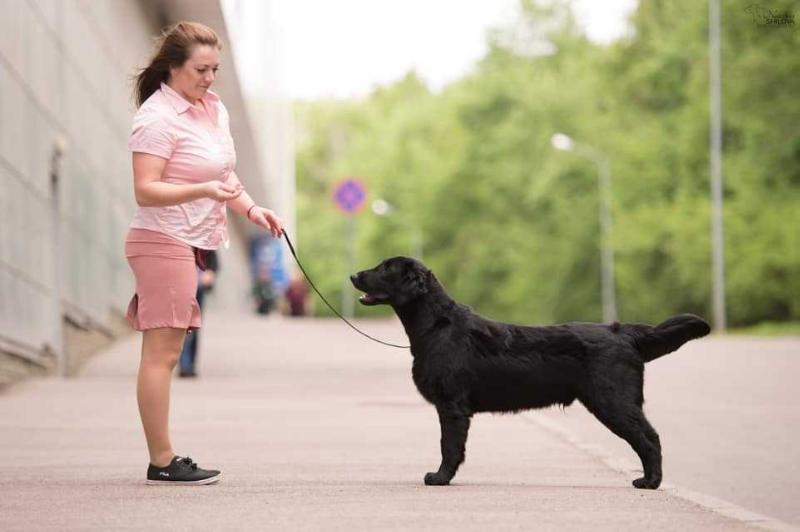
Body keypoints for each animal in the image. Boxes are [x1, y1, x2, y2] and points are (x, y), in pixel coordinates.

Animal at [350, 256, 708, 488]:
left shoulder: (451, 405)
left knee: (650, 437)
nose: (353, 275)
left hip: (613, 401)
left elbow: (448, 446)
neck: (437, 325)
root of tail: (622, 332)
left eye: (385, 268)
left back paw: (650, 481)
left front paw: (439, 478)